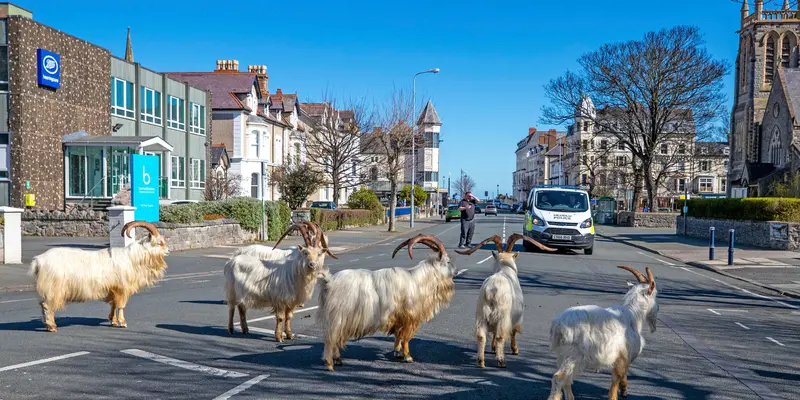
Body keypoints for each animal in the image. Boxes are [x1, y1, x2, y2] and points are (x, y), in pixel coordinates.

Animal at [29, 222, 169, 332]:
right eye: (159, 243)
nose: (168, 250)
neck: (132, 258)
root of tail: (38, 260)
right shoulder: (122, 288)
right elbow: (121, 305)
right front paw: (122, 322)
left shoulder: (112, 288)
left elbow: (113, 304)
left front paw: (113, 321)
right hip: (53, 288)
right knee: (47, 305)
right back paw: (52, 326)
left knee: (42, 304)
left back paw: (47, 325)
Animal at [316, 234, 460, 372]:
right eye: (448, 261)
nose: (457, 271)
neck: (419, 281)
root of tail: (329, 281)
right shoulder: (410, 317)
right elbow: (406, 337)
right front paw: (408, 357)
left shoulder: (399, 318)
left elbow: (398, 336)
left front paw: (398, 353)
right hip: (338, 317)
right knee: (331, 338)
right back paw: (330, 363)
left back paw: (337, 359)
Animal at [456, 234, 556, 368]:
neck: (505, 269)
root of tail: (492, 289)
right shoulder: (516, 316)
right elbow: (513, 331)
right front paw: (515, 350)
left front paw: (493, 348)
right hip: (502, 314)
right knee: (500, 336)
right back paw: (501, 361)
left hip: (481, 314)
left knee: (481, 336)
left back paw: (481, 361)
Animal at [548, 266, 660, 400]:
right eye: (655, 295)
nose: (658, 309)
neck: (633, 313)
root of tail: (558, 326)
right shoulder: (623, 354)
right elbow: (617, 377)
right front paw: (617, 394)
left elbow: (622, 374)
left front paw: (624, 390)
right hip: (574, 355)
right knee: (559, 378)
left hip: (562, 355)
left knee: (567, 380)